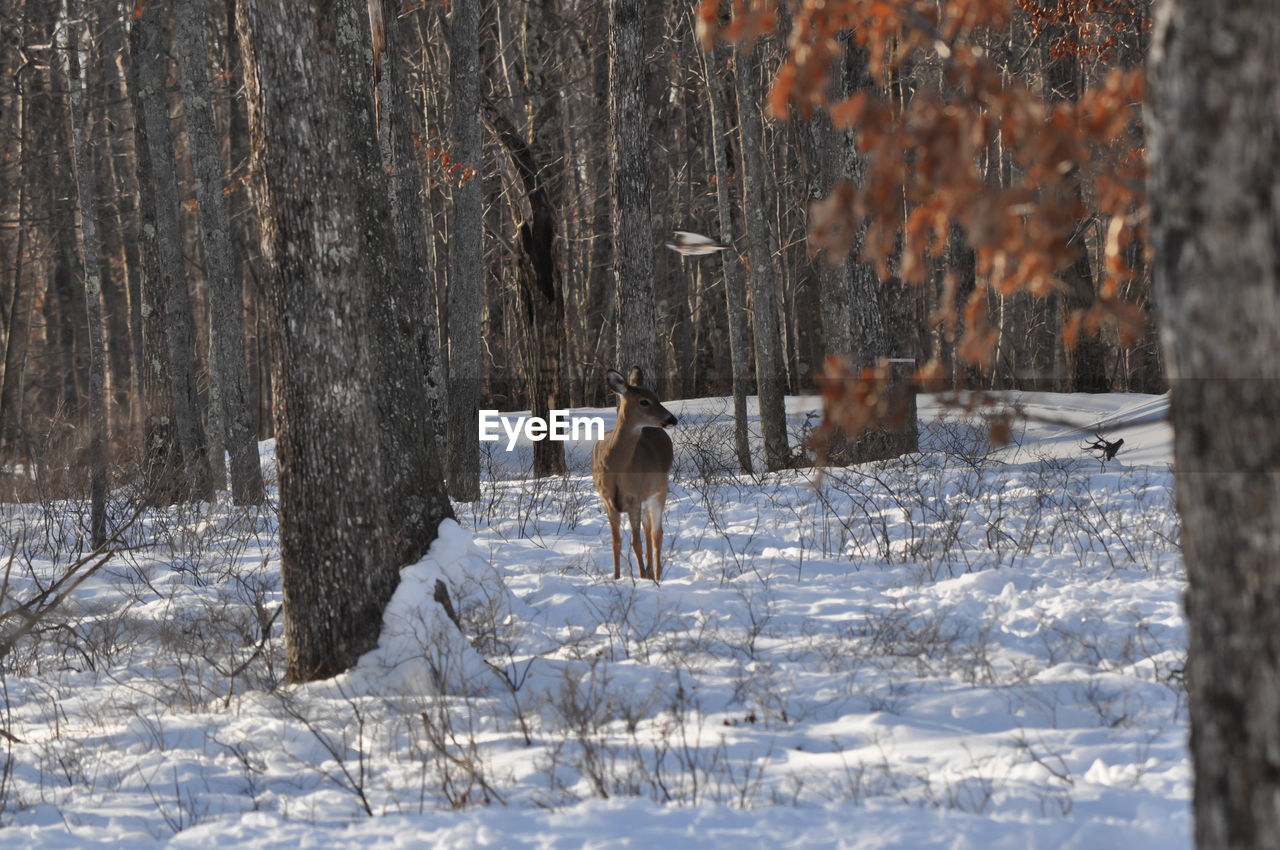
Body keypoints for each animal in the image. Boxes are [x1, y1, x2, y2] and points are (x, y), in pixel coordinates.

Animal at [593, 366, 680, 583]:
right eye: (644, 401)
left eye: (657, 397)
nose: (672, 419)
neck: (617, 466)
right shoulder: (608, 500)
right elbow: (616, 542)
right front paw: (616, 577)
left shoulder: (634, 497)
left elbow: (636, 542)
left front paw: (640, 577)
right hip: (646, 499)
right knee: (649, 531)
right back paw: (650, 572)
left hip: (659, 491)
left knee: (657, 534)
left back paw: (655, 575)